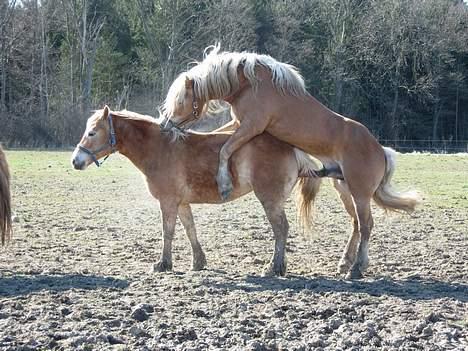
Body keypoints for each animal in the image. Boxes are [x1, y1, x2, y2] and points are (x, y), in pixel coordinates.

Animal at [73, 107, 330, 278]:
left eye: (92, 132)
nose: (75, 161)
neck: (160, 148)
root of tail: (291, 147)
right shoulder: (181, 203)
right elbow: (190, 229)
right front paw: (198, 261)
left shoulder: (168, 202)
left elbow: (168, 232)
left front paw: (163, 264)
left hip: (270, 200)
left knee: (281, 229)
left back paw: (274, 267)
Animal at [163, 44, 422, 280]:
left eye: (181, 100)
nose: (166, 125)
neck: (248, 85)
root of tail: (380, 150)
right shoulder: (237, 124)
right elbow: (219, 136)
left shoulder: (250, 126)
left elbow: (225, 149)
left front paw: (224, 184)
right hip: (344, 189)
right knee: (356, 224)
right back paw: (344, 264)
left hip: (360, 193)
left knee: (366, 225)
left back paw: (356, 268)